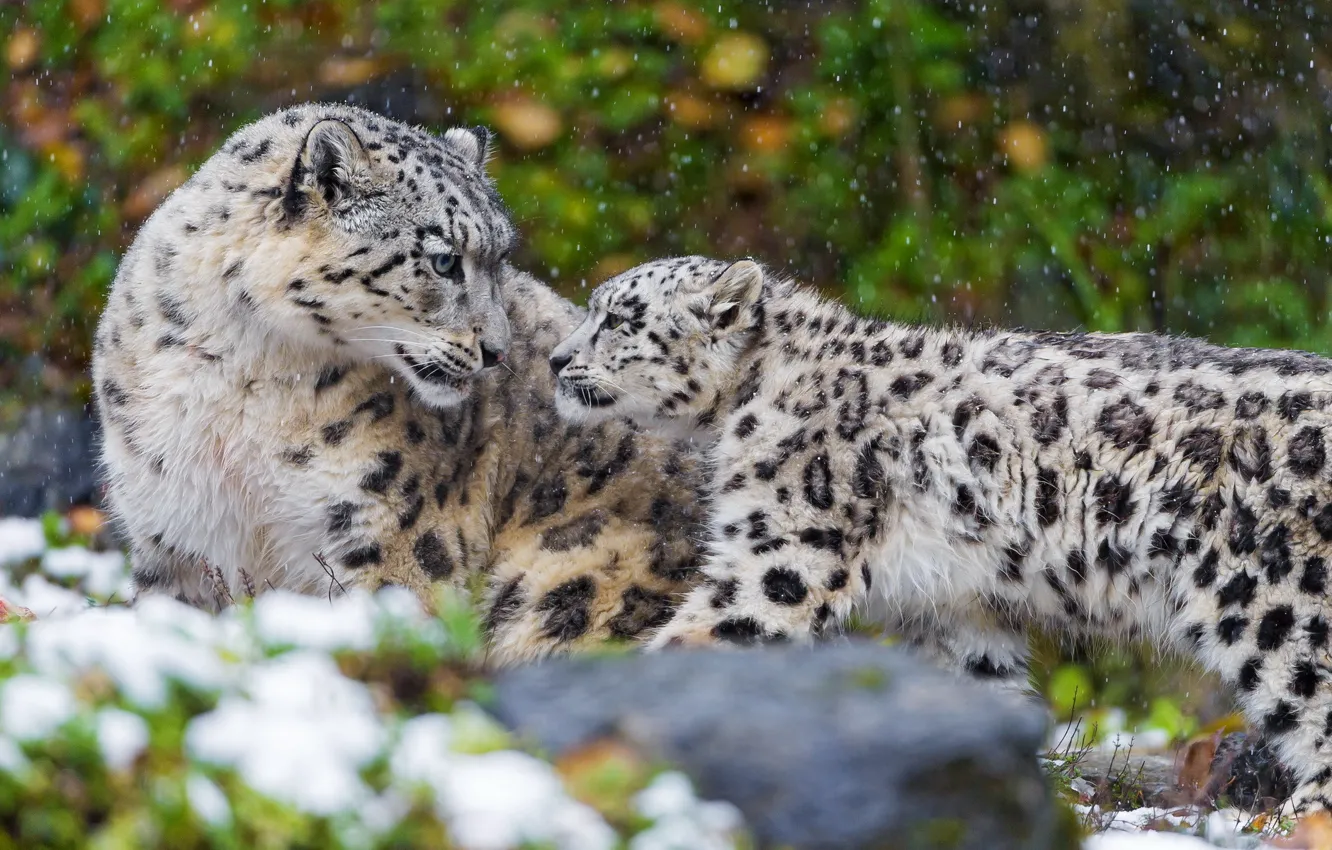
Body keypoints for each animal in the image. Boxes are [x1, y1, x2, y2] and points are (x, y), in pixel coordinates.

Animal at [91, 103, 706, 665]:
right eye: (444, 261)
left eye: (500, 258)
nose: (498, 351)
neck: (243, 380)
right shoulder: (173, 532)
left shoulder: (392, 532)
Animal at [549, 254, 1332, 812]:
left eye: (618, 318)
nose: (556, 359)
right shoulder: (958, 608)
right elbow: (981, 691)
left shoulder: (780, 559)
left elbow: (692, 642)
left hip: (1279, 607)